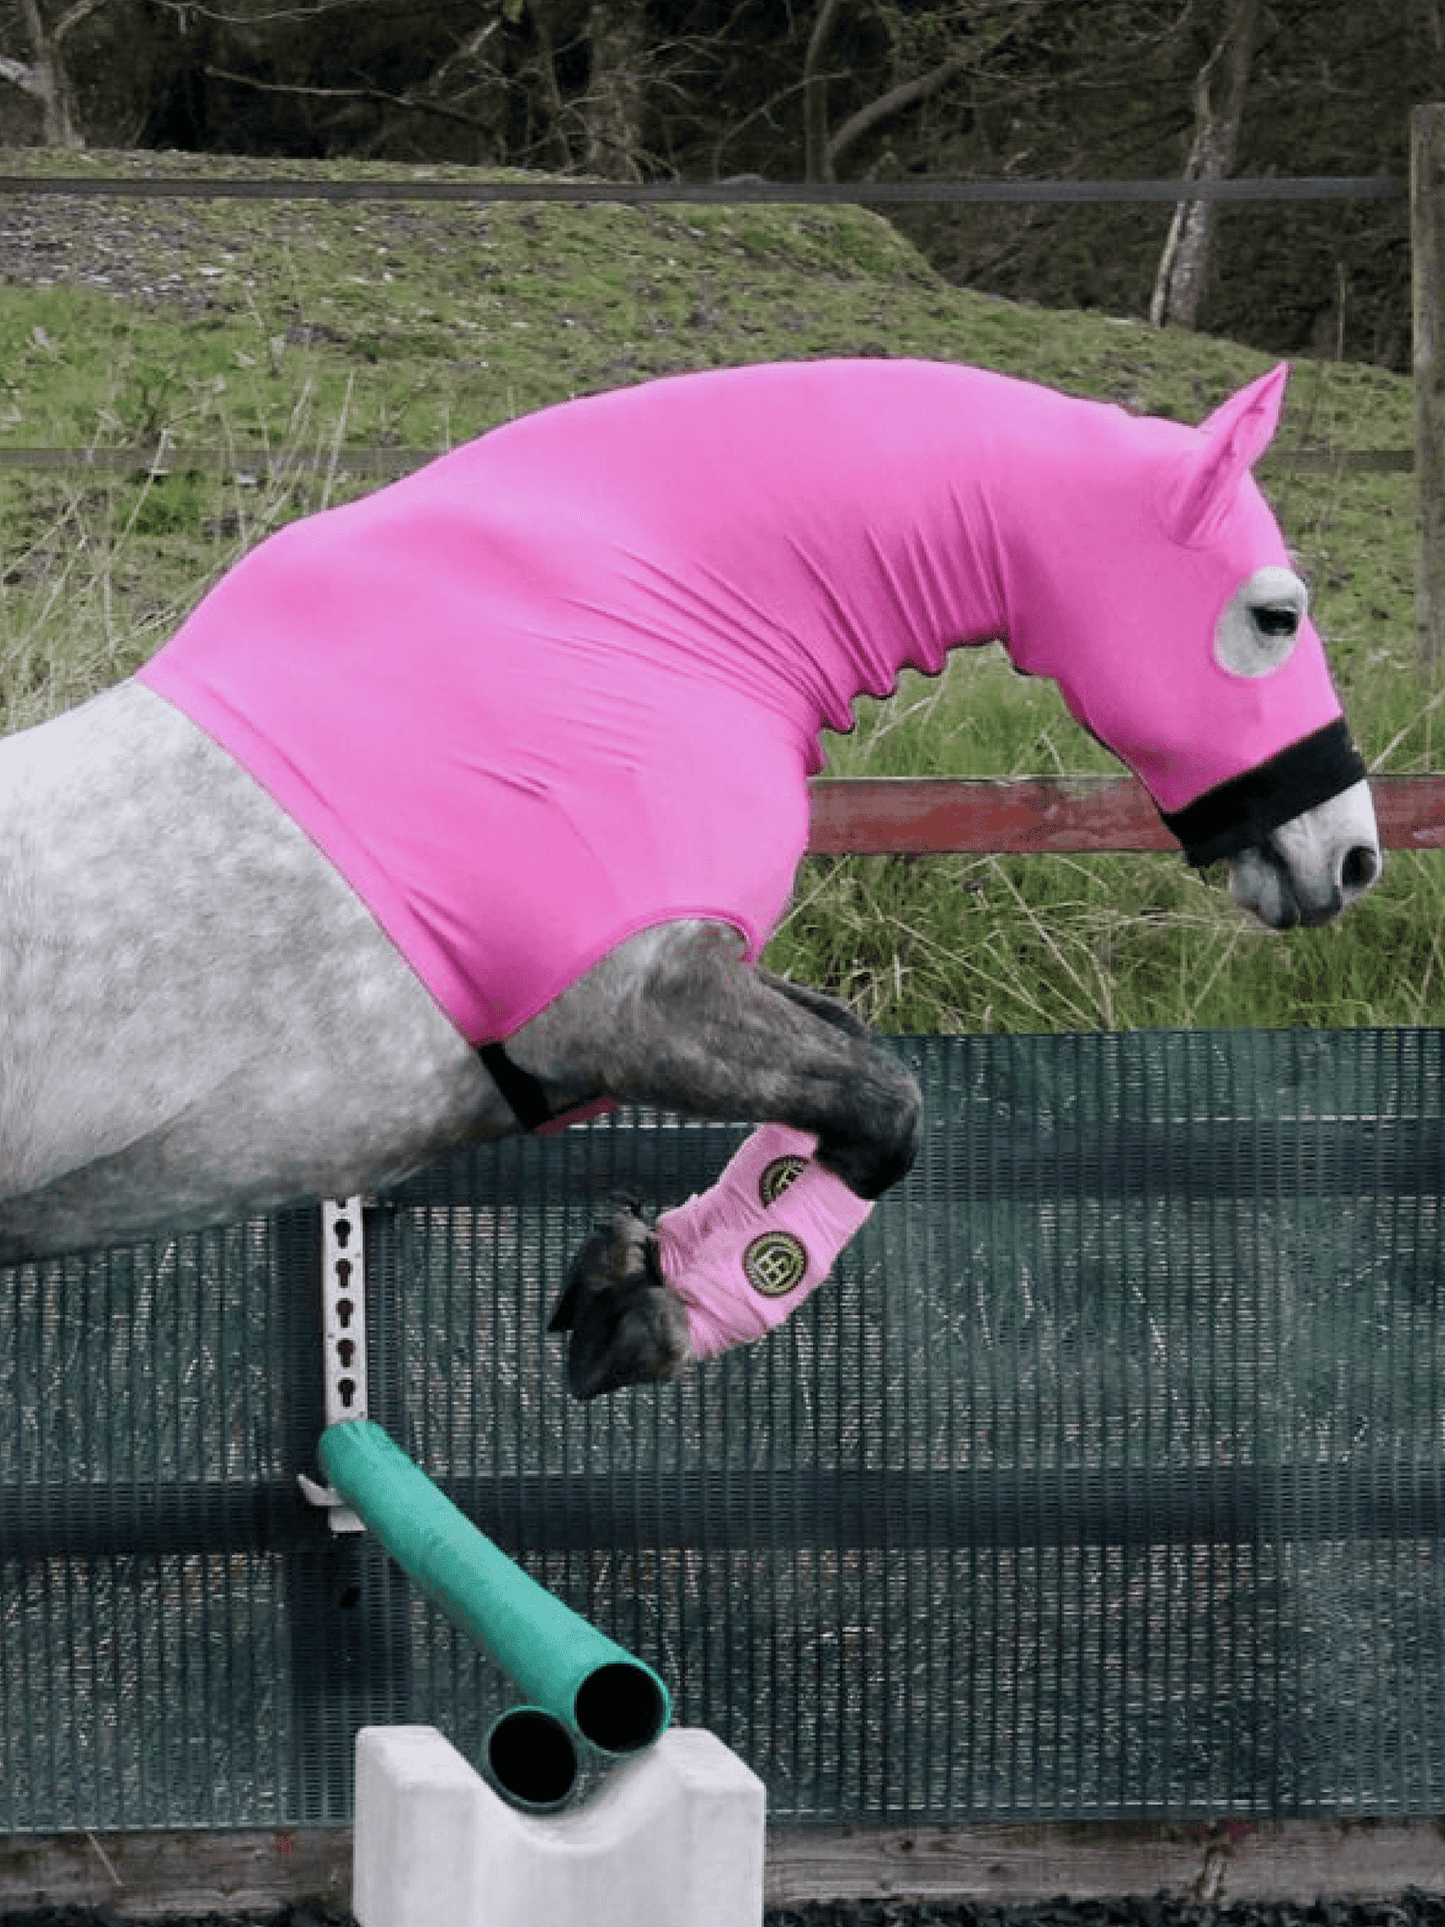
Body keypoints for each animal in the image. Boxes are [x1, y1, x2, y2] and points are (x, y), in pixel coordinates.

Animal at [0, 354, 1379, 1395]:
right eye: (1275, 614)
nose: (1348, 857)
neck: (629, 625)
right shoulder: (633, 1007)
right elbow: (884, 1106)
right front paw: (667, 1311)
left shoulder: (686, 999)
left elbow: (851, 1069)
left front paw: (642, 1269)